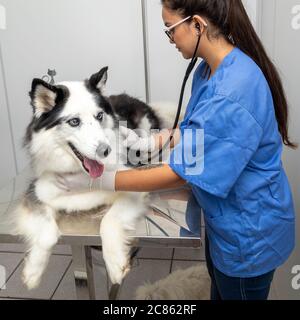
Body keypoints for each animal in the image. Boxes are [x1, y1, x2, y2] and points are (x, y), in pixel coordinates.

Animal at [14, 66, 172, 288]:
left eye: (99, 116)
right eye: (74, 121)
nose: (105, 150)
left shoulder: (132, 186)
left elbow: (109, 220)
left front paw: (115, 263)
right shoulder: (36, 193)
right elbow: (47, 232)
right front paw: (33, 271)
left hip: (146, 125)